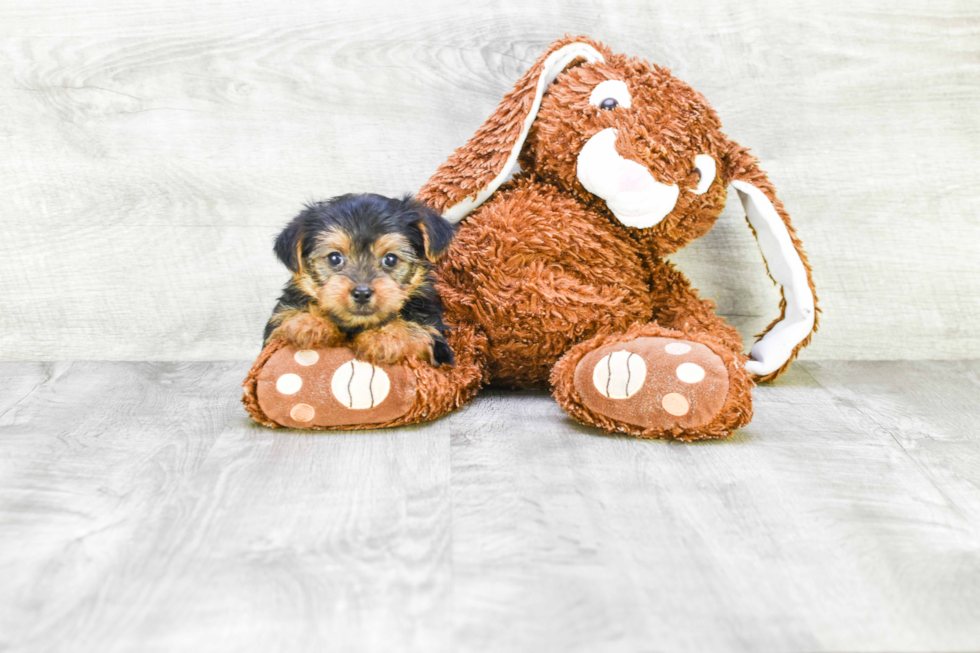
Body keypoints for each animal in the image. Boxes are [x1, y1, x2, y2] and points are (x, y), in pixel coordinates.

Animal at [264, 192, 456, 366]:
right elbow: (287, 318)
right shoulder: (277, 324)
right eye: (334, 258)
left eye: (391, 259)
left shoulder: (435, 337)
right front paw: (310, 321)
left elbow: (416, 333)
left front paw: (383, 337)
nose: (362, 293)